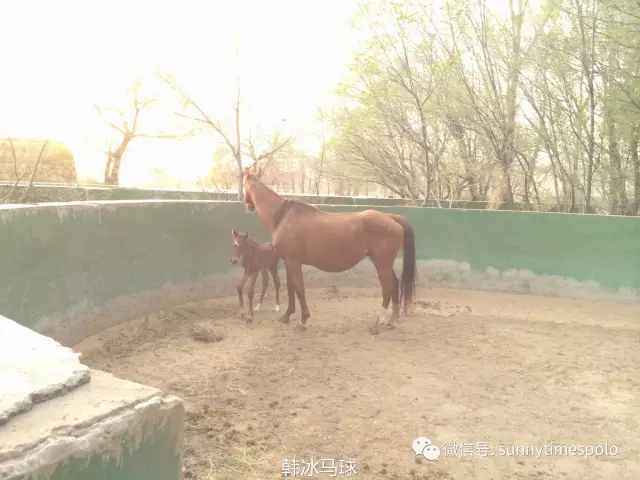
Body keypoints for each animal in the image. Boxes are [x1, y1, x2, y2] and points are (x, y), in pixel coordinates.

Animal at [241, 167, 417, 333]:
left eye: (243, 185)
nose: (247, 205)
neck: (283, 217)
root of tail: (390, 217)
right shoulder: (289, 261)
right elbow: (291, 288)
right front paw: (287, 316)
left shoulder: (293, 261)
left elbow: (299, 289)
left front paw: (303, 320)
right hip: (384, 263)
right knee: (395, 283)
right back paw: (390, 320)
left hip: (381, 263)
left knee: (387, 287)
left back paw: (378, 323)